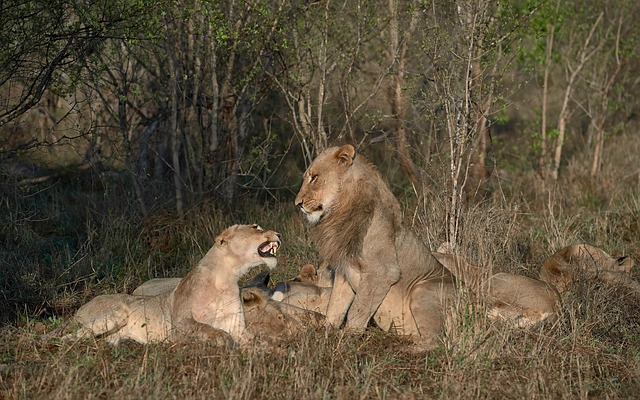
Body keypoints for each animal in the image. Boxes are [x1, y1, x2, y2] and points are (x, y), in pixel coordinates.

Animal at [63, 224, 281, 345]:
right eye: (255, 227)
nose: (278, 234)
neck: (226, 278)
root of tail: (81, 307)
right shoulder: (179, 324)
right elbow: (207, 328)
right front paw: (223, 339)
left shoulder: (237, 327)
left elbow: (259, 342)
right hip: (115, 314)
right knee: (73, 334)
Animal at [294, 144, 456, 348]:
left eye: (314, 177)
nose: (297, 204)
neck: (341, 212)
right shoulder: (345, 271)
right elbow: (335, 305)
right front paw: (326, 333)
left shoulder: (383, 271)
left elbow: (357, 309)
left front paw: (347, 338)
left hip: (423, 288)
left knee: (435, 342)